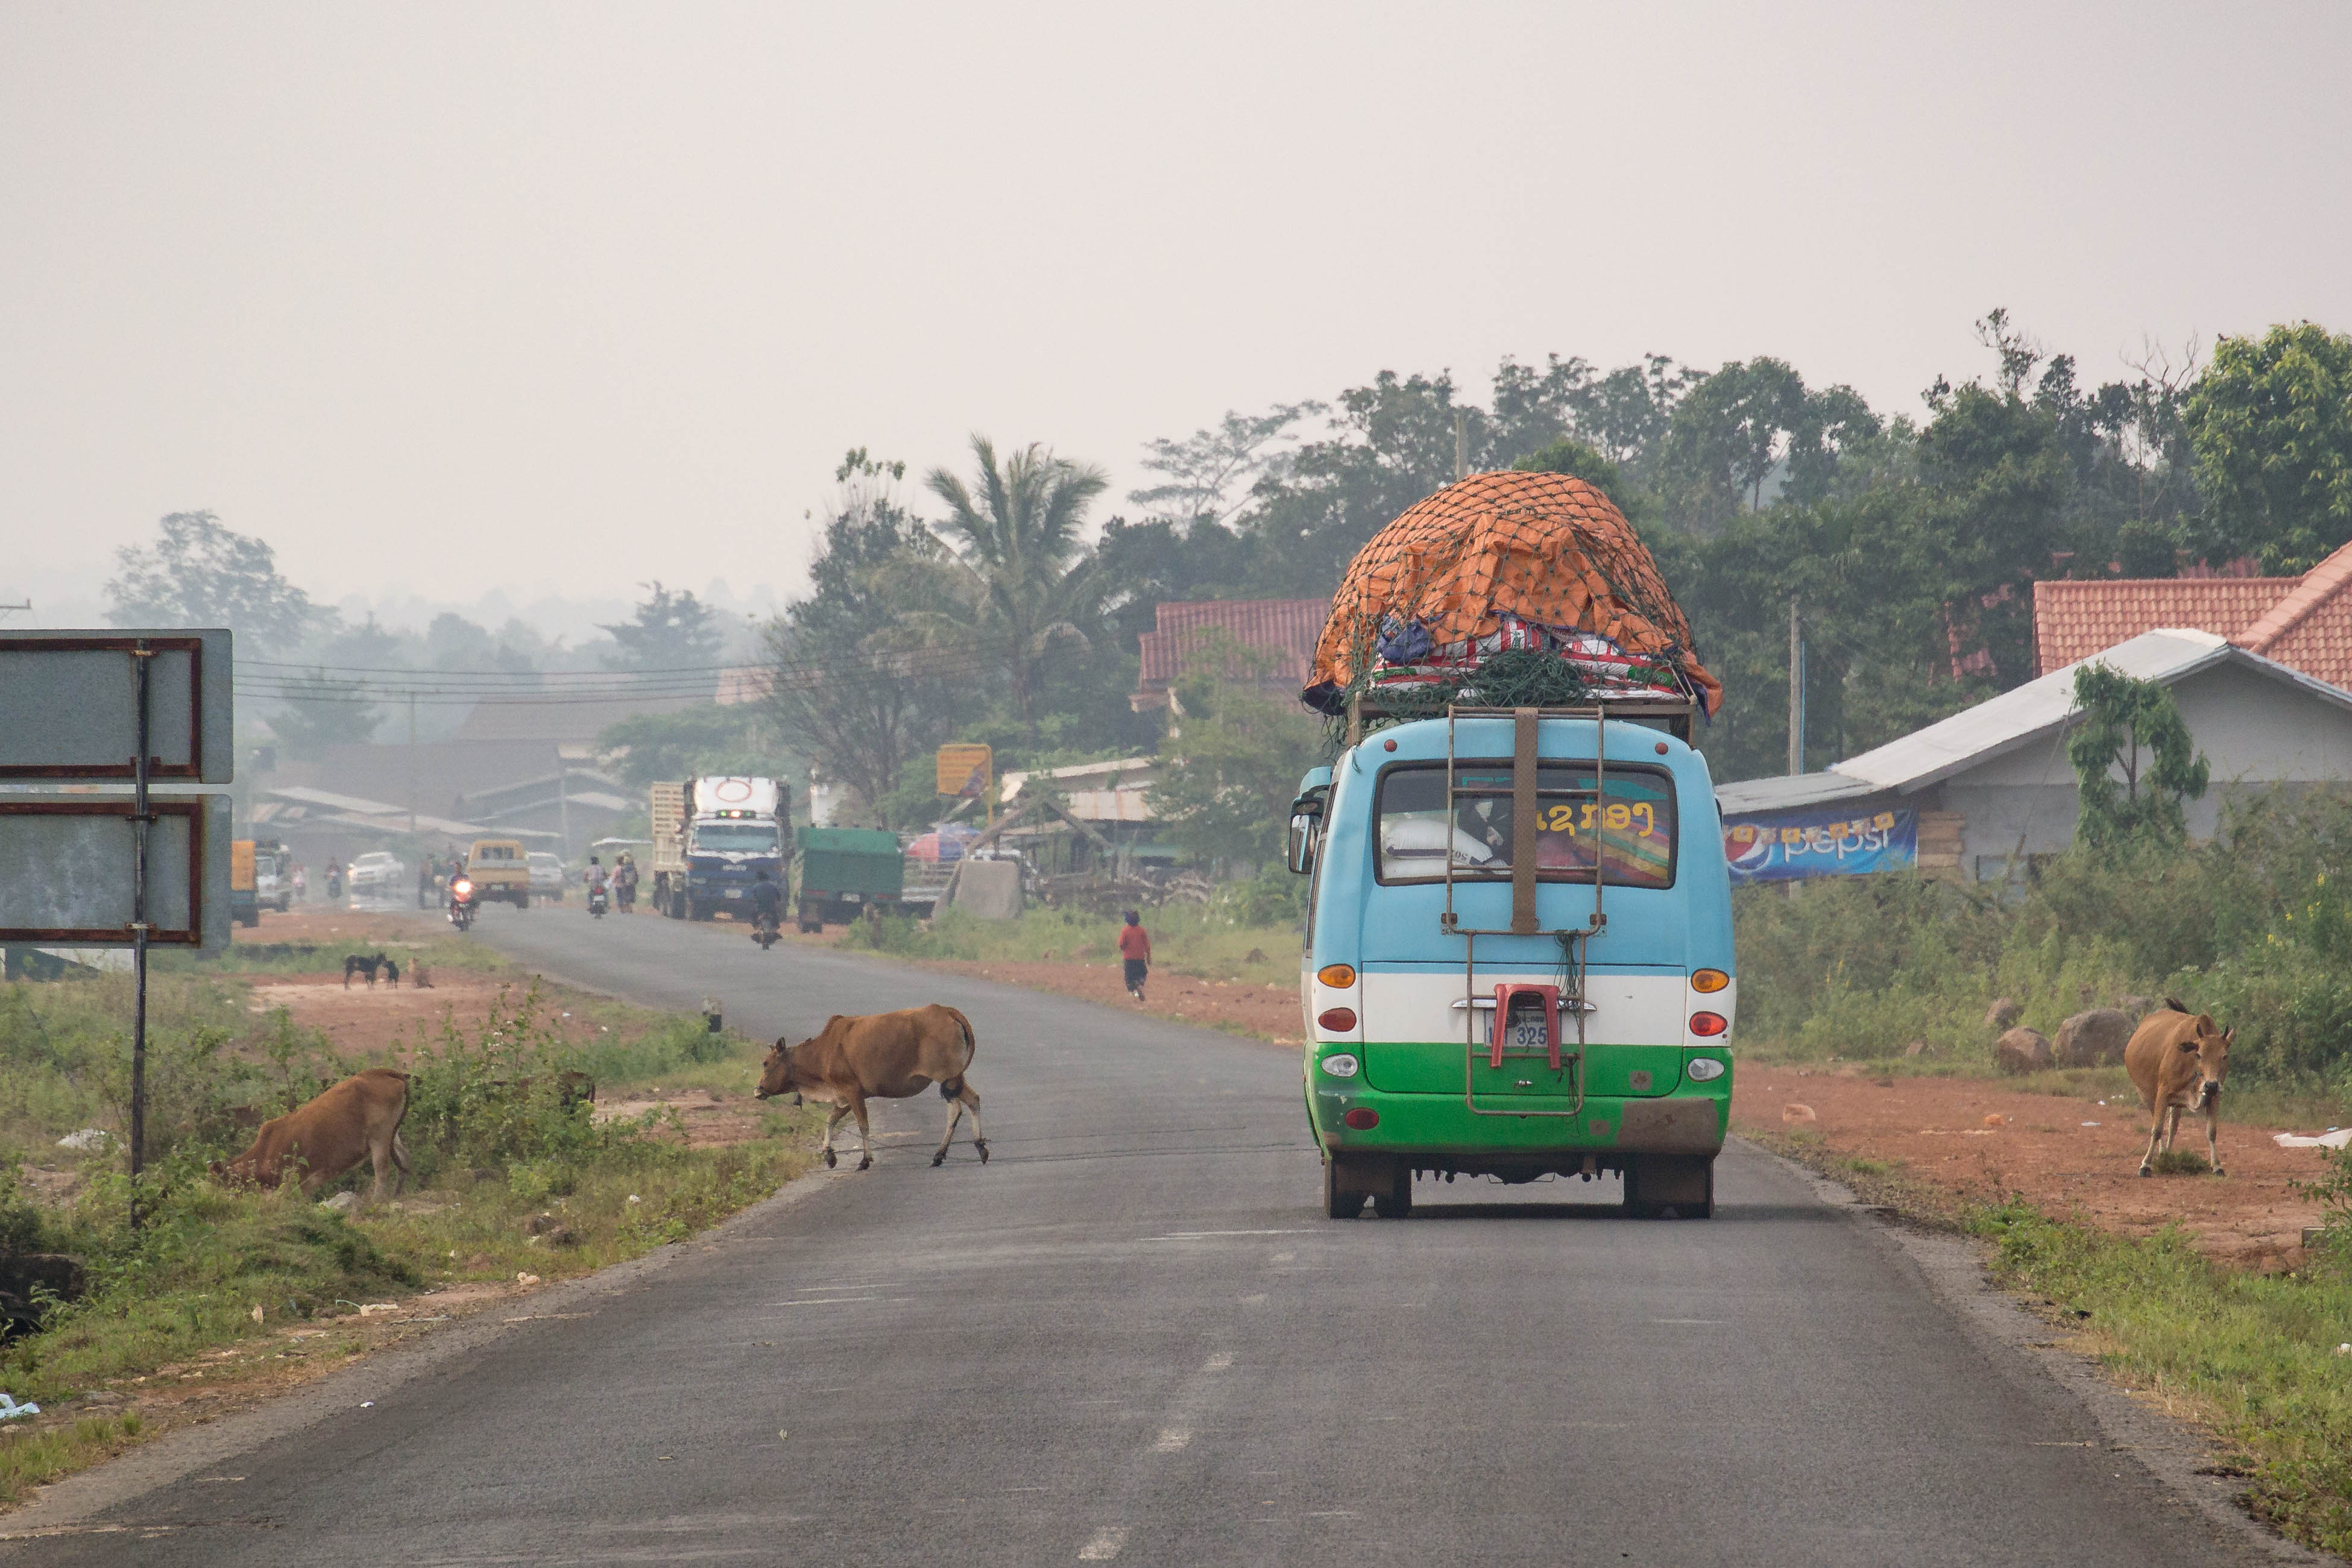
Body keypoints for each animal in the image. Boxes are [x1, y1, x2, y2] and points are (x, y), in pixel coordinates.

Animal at [213, 1067, 414, 1203]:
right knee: (404, 1158)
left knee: (382, 1168)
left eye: (222, 1185)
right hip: (392, 1134)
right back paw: (396, 1195)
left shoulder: (293, 1180)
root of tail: (382, 1072)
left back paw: (376, 1200)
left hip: (379, 1134)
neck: (265, 1150)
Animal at [757, 1010, 988, 1170]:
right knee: (973, 1100)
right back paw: (978, 1148)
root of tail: (949, 1011)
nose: (757, 1090)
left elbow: (863, 1126)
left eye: (766, 1063)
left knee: (955, 1110)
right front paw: (829, 1154)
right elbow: (831, 1120)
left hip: (946, 1078)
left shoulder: (852, 1091)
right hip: (956, 1078)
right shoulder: (845, 1096)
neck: (822, 1052)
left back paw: (941, 1154)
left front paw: (865, 1160)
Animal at [2126, 1006, 2230, 1175]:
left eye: (2224, 1056)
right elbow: (2157, 1130)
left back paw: (2167, 1154)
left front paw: (2217, 1166)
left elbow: (2212, 1132)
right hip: (2146, 1095)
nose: (2211, 1085)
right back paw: (2162, 1154)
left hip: (2176, 1103)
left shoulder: (2215, 1098)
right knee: (2159, 1124)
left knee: (2173, 1126)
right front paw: (2146, 1165)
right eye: (2199, 1055)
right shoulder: (2163, 1093)